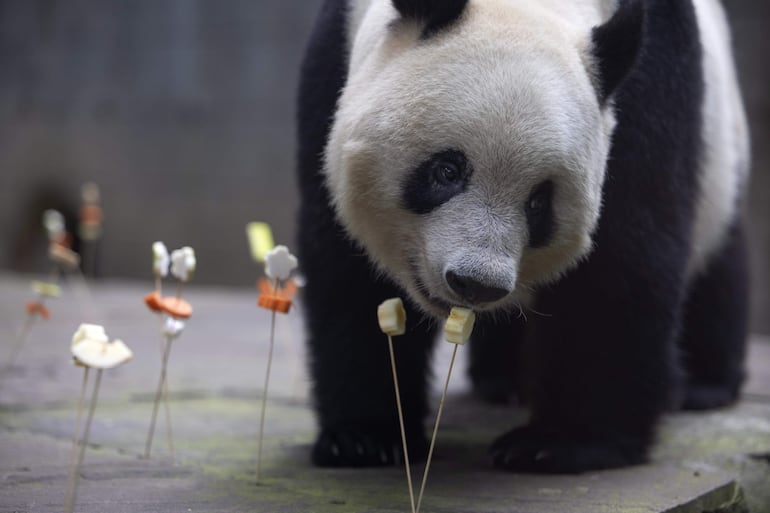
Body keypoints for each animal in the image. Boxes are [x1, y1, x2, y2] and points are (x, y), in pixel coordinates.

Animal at [292, 0, 744, 472]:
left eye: (539, 203)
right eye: (447, 170)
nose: (475, 283)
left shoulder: (651, 89)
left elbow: (624, 255)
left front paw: (562, 442)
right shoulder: (335, 58)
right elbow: (347, 269)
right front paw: (366, 437)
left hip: (723, 158)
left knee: (718, 267)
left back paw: (701, 385)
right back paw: (503, 380)